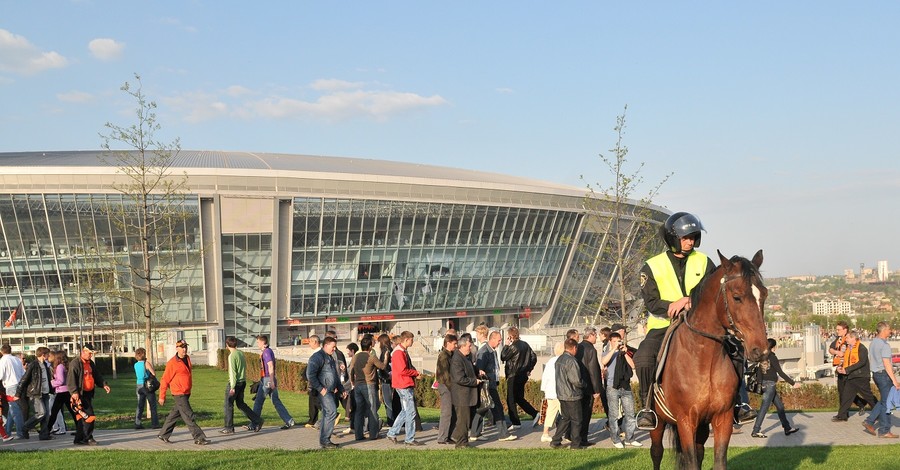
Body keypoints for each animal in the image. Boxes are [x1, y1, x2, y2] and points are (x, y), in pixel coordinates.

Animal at [652, 250, 768, 470]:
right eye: (737, 297)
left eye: (764, 295)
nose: (761, 350)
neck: (703, 360)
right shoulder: (686, 421)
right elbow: (689, 461)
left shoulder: (722, 418)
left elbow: (718, 460)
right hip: (658, 424)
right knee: (657, 453)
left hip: (702, 427)